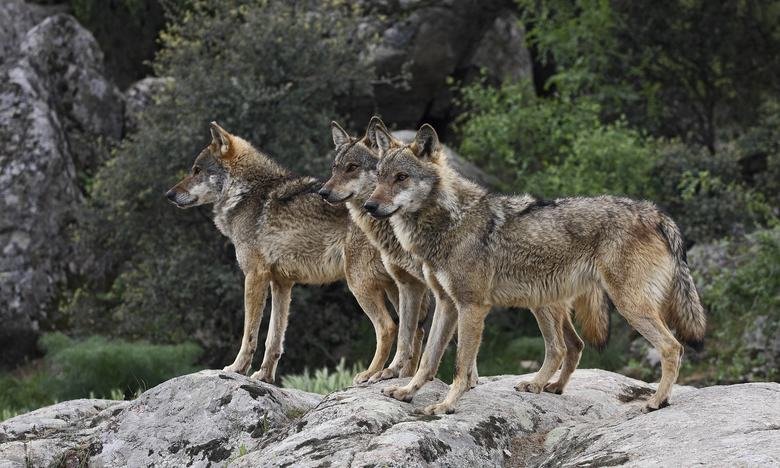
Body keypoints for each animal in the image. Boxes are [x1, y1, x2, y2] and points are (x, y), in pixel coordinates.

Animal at [166, 122, 400, 384]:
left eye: (197, 171)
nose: (169, 194)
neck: (246, 193)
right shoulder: (282, 283)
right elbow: (274, 338)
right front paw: (264, 376)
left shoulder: (254, 276)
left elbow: (250, 333)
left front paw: (237, 369)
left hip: (359, 284)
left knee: (388, 327)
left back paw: (371, 374)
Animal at [365, 124, 706, 415]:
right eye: (379, 177)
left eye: (401, 177)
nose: (369, 206)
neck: (449, 221)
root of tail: (655, 212)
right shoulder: (447, 304)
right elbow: (428, 358)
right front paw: (406, 391)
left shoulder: (472, 307)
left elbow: (461, 365)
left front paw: (446, 405)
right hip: (543, 301)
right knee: (562, 348)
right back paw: (544, 385)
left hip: (626, 306)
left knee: (672, 347)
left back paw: (657, 401)